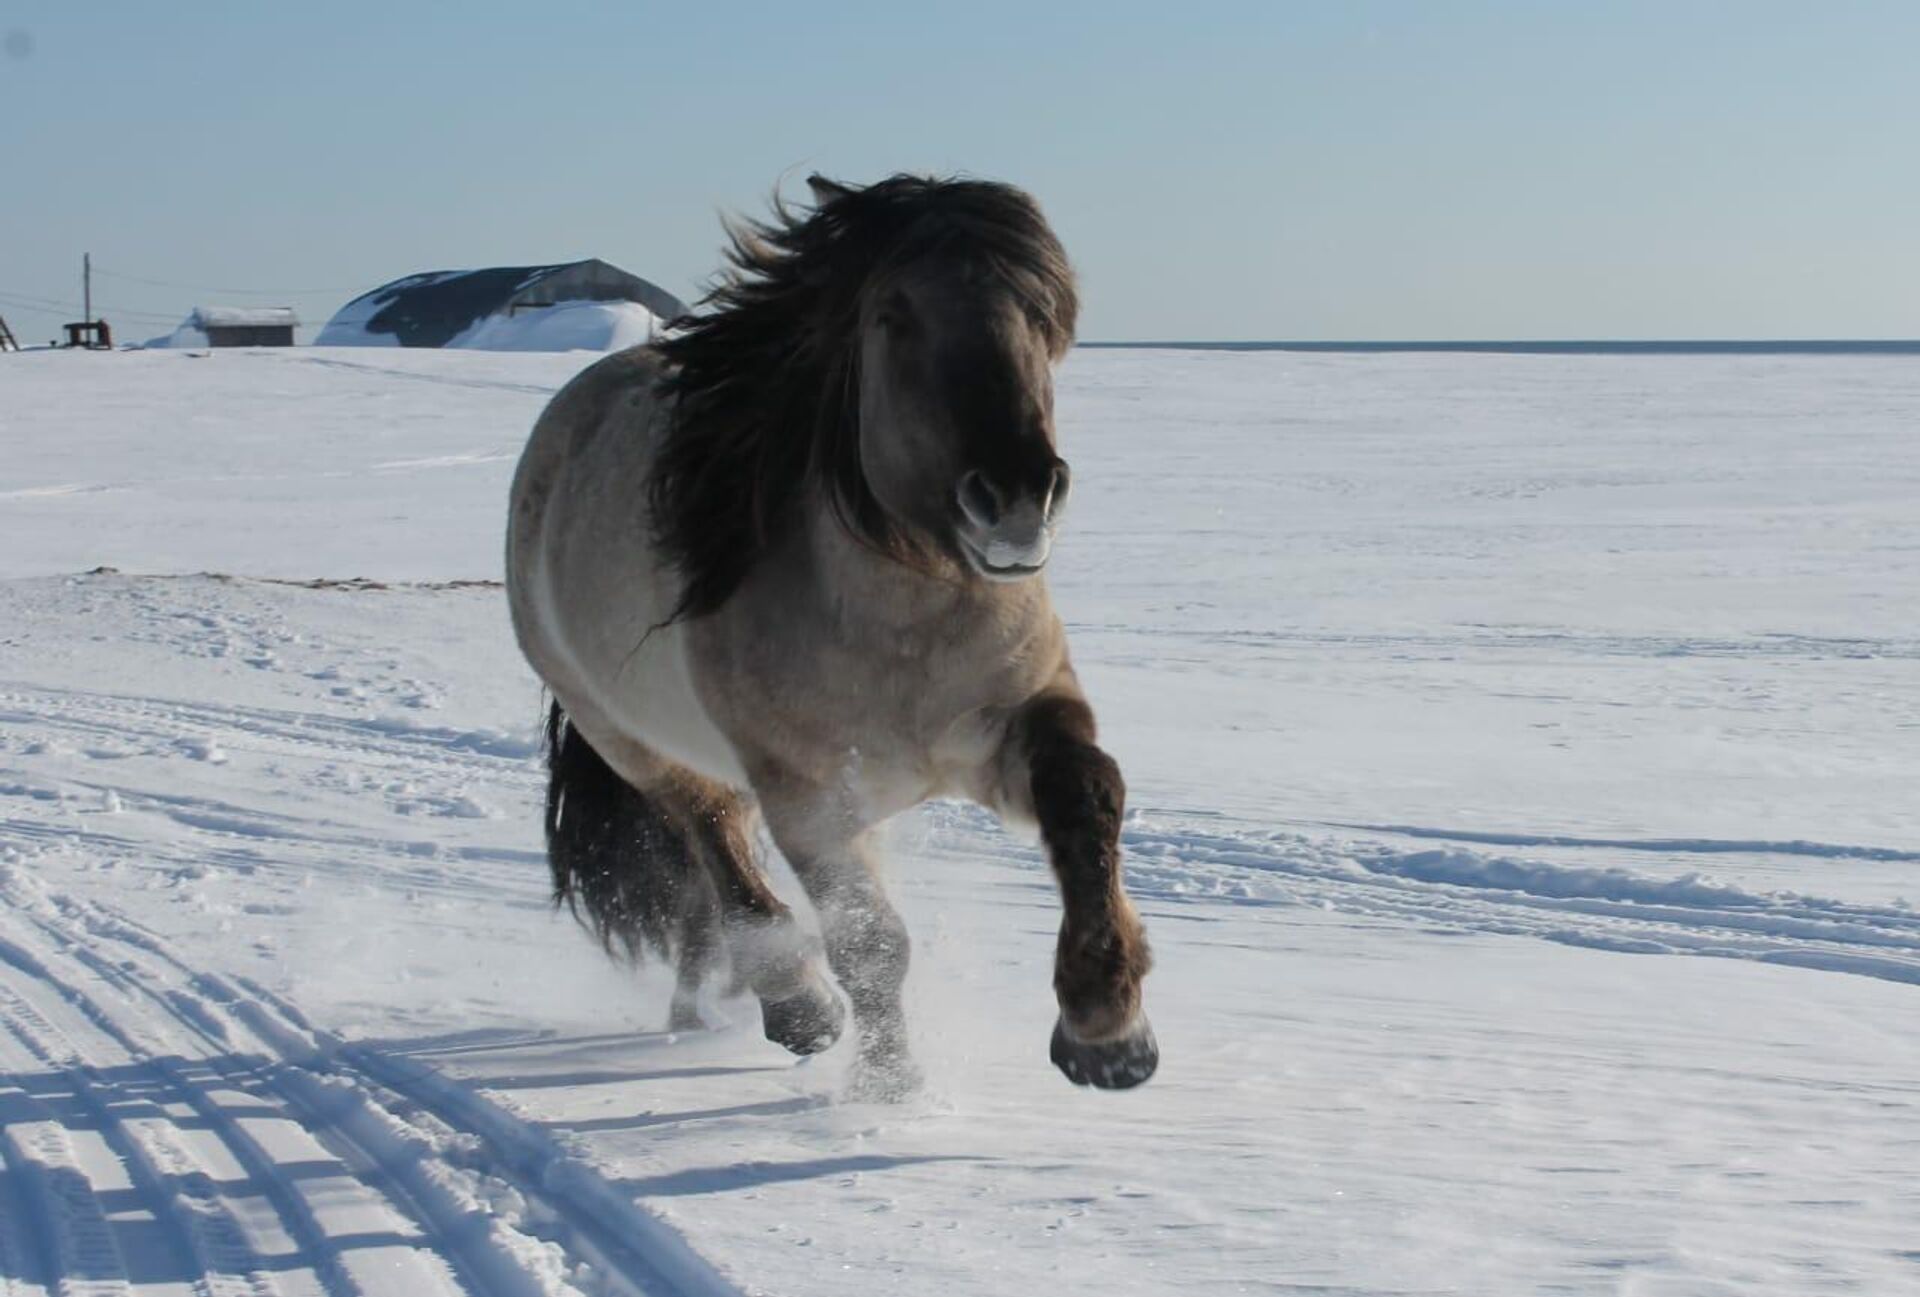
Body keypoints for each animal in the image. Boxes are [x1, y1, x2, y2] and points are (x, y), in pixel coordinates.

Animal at [506, 169, 1152, 1082]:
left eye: (1040, 312)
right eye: (894, 314)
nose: (1017, 496)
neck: (905, 627)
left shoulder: (1013, 722)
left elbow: (1087, 793)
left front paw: (1109, 1028)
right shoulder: (807, 794)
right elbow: (872, 945)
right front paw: (891, 1094)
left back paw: (701, 1010)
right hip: (640, 744)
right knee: (717, 850)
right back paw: (794, 1006)